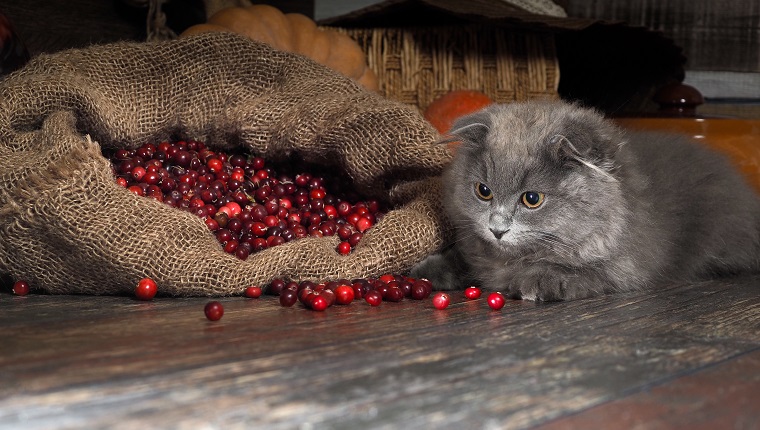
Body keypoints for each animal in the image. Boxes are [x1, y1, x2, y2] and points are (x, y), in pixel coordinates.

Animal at [412, 99, 760, 300]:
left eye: (532, 199)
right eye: (483, 191)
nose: (497, 228)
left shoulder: (627, 267)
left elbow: (583, 273)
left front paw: (537, 282)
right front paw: (426, 269)